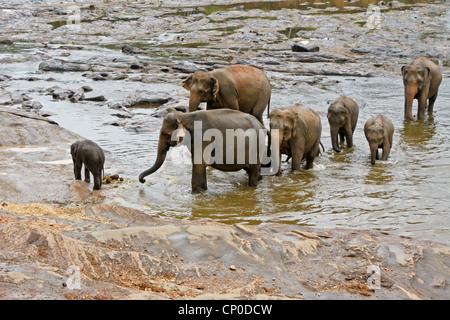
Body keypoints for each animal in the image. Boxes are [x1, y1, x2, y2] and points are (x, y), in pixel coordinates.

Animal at [138, 109, 268, 194]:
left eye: (165, 134)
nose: (143, 180)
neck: (183, 116)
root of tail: (261, 126)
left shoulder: (202, 138)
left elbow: (199, 164)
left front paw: (194, 194)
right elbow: (201, 166)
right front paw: (203, 191)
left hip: (257, 145)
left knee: (253, 171)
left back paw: (251, 187)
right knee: (251, 170)